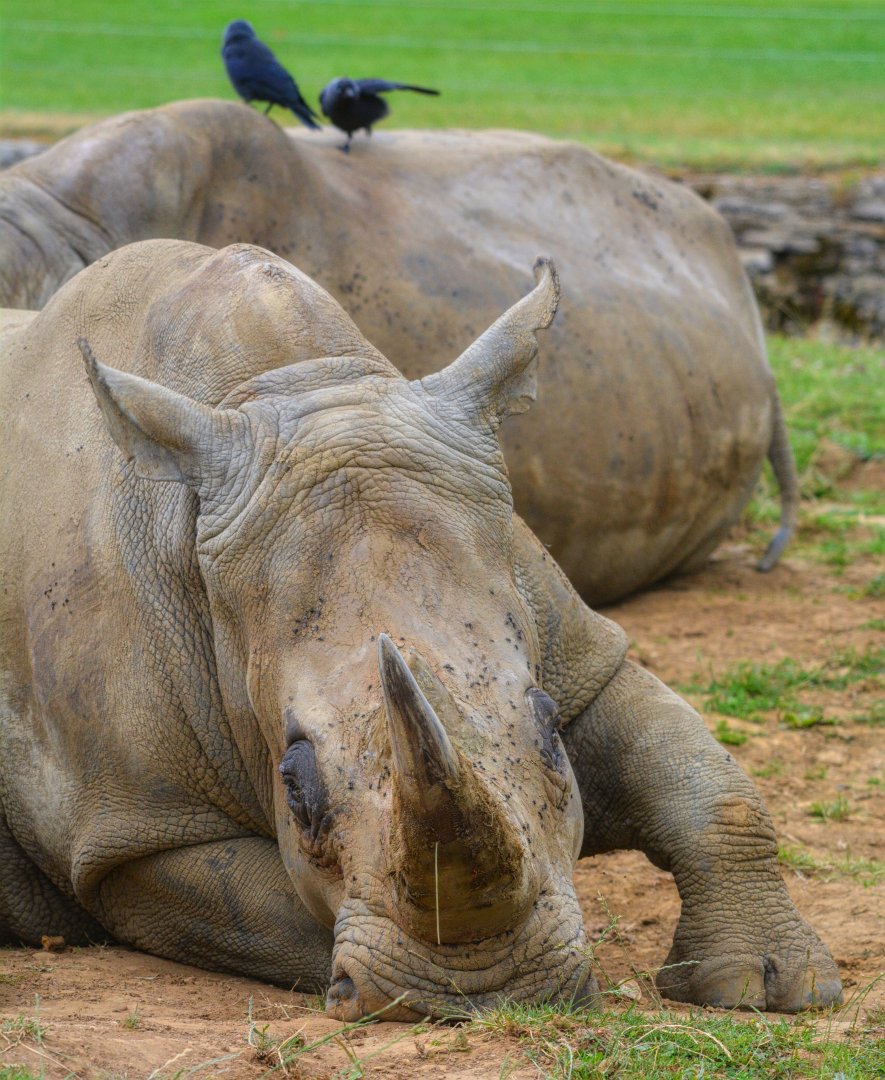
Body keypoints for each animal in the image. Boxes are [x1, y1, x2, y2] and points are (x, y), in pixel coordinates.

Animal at [0, 239, 839, 1019]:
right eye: (292, 782)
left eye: (547, 729)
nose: (494, 992)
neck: (300, 385)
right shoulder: (132, 826)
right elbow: (272, 910)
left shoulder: (571, 645)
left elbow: (702, 778)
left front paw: (768, 987)